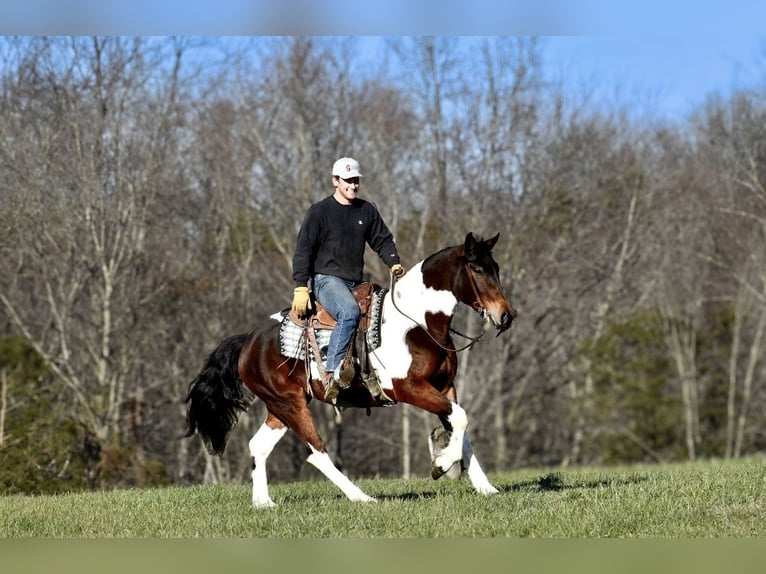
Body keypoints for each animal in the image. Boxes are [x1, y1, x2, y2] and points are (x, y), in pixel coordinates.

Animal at [184, 234, 516, 508]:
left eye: (496, 267)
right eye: (478, 270)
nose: (506, 315)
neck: (417, 324)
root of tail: (249, 340)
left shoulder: (446, 386)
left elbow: (461, 425)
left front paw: (485, 487)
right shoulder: (408, 388)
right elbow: (459, 418)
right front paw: (441, 465)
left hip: (280, 406)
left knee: (259, 446)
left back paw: (263, 503)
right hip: (290, 404)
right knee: (316, 452)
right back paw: (361, 497)